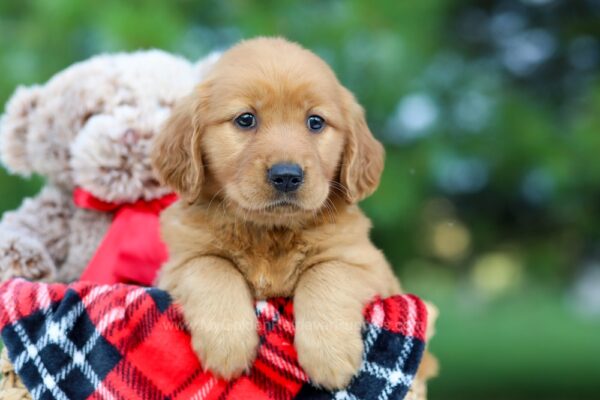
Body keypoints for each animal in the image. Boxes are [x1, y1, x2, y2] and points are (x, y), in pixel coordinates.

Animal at [150, 38, 404, 390]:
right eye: (245, 119)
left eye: (315, 122)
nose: (286, 176)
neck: (269, 232)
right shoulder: (177, 265)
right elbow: (211, 265)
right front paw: (227, 346)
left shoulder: (367, 264)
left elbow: (326, 272)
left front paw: (329, 356)